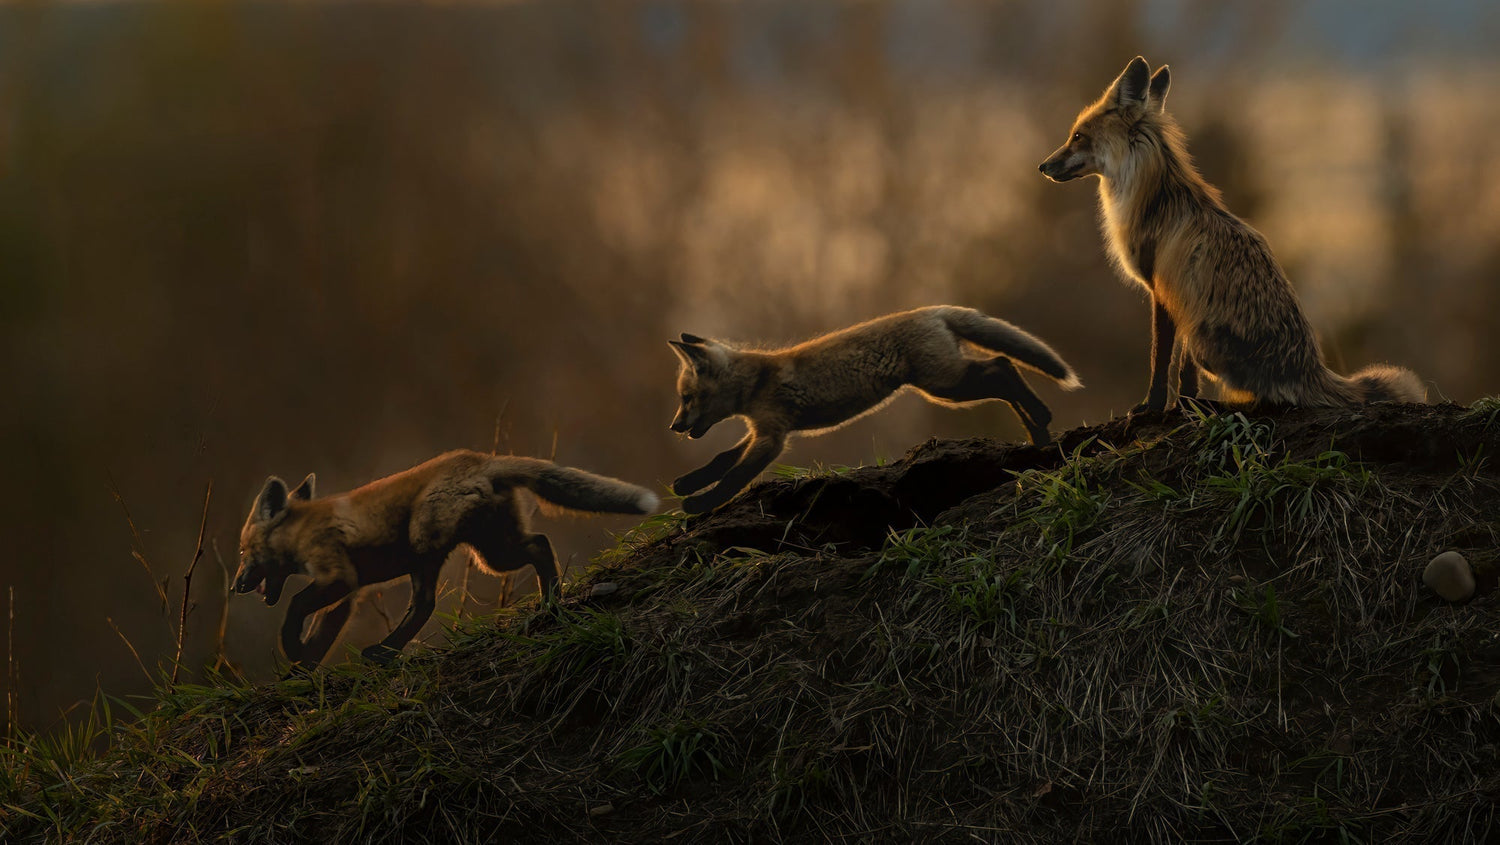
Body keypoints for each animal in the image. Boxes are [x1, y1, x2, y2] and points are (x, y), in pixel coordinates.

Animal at [233, 450, 658, 667]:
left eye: (241, 552)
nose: (236, 585)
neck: (303, 530)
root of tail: (480, 458)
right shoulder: (346, 593)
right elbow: (321, 635)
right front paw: (301, 672)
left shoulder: (338, 576)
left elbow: (294, 605)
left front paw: (291, 648)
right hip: (472, 551)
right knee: (427, 604)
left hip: (458, 552)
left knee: (537, 546)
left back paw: (551, 603)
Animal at [667, 305, 1081, 514]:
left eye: (687, 398)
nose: (673, 426)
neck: (757, 380)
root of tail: (931, 309)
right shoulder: (760, 430)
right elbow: (721, 460)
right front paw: (688, 483)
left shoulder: (772, 437)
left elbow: (734, 477)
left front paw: (700, 505)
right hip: (946, 383)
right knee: (1004, 366)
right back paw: (1036, 431)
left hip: (946, 386)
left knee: (1002, 367)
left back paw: (1040, 422)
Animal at [1038, 56, 1425, 410]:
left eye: (1077, 136)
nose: (1043, 166)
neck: (1154, 199)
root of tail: (1311, 368)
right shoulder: (1185, 300)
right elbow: (1184, 370)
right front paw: (1186, 404)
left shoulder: (1162, 290)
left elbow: (1160, 360)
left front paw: (1153, 406)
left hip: (1207, 346)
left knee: (1272, 397)